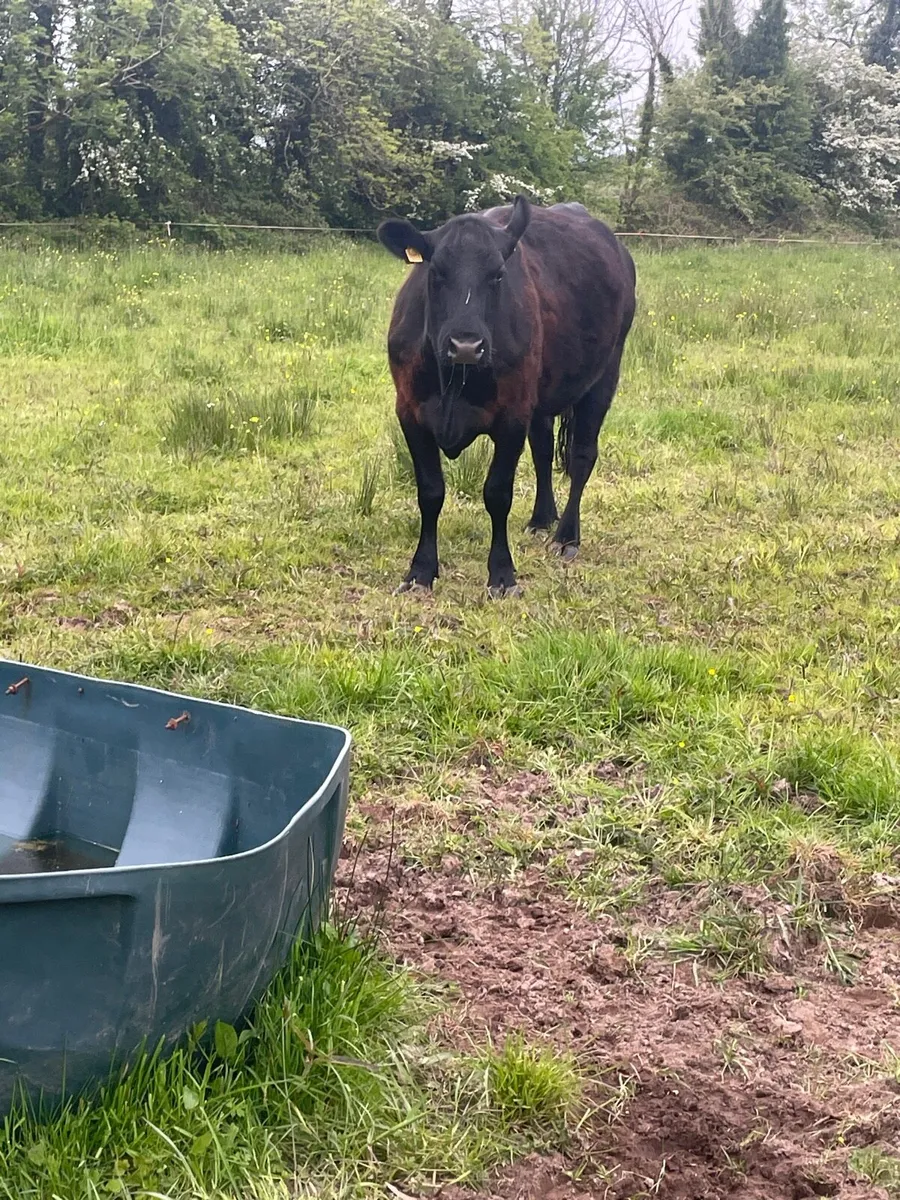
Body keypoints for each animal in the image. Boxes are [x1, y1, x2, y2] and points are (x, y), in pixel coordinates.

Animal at [376, 196, 636, 596]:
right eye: (436, 273)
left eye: (498, 274)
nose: (466, 345)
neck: (454, 380)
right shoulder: (410, 412)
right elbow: (430, 492)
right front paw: (420, 572)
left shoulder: (512, 416)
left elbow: (497, 494)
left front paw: (502, 575)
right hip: (542, 398)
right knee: (543, 451)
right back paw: (542, 518)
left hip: (604, 376)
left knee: (581, 457)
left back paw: (566, 537)